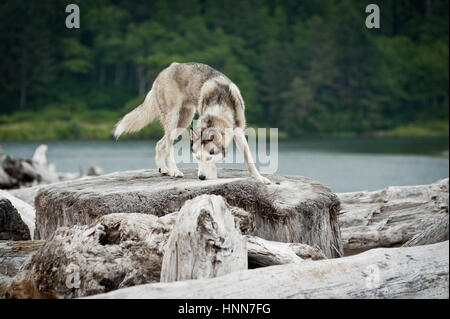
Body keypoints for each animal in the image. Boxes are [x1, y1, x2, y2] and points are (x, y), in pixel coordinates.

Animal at [116, 62, 270, 185]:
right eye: (197, 158)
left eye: (209, 157)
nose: (201, 177)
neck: (219, 109)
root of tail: (166, 69)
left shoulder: (238, 132)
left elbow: (249, 160)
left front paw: (259, 178)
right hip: (173, 118)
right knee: (168, 146)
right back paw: (174, 170)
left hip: (184, 121)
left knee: (160, 143)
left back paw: (163, 169)